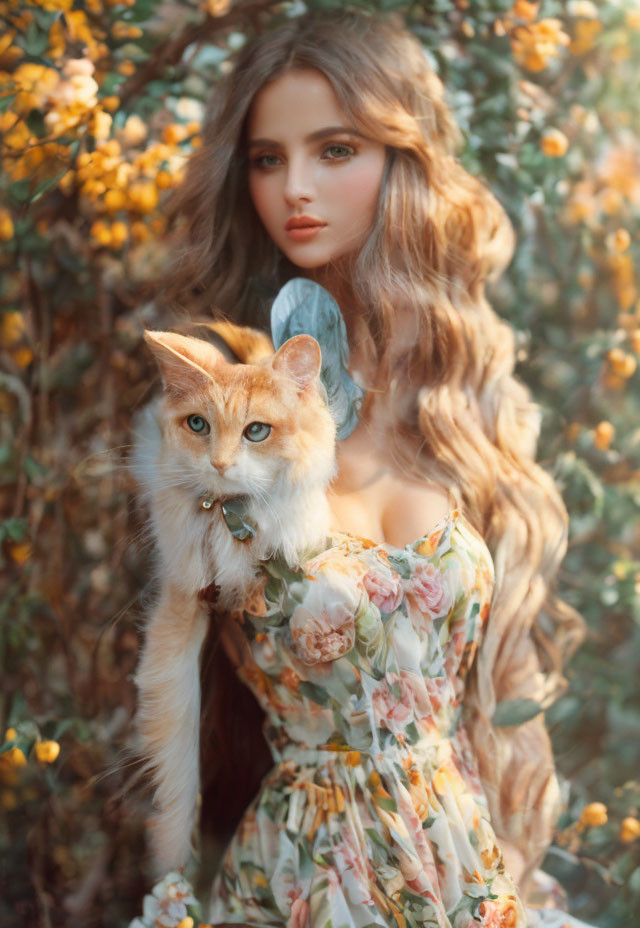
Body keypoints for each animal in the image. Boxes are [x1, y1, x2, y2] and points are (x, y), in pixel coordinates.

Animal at [129, 328, 336, 876]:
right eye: (198, 425)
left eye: (256, 431)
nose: (219, 464)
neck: (228, 517)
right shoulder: (182, 608)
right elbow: (178, 759)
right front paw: (173, 867)